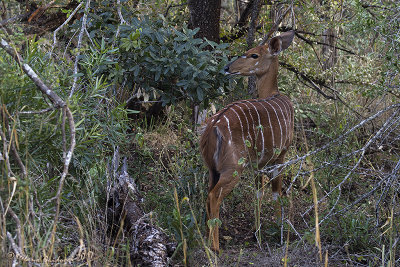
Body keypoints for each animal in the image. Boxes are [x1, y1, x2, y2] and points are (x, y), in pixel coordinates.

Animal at [199, 30, 294, 252]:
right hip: (233, 168)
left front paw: (257, 233)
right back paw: (215, 246)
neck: (275, 95)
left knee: (207, 194)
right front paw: (278, 231)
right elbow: (275, 192)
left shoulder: (258, 163)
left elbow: (258, 193)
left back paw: (207, 240)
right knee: (214, 196)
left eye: (254, 55)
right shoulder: (281, 155)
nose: (227, 68)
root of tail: (213, 126)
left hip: (212, 169)